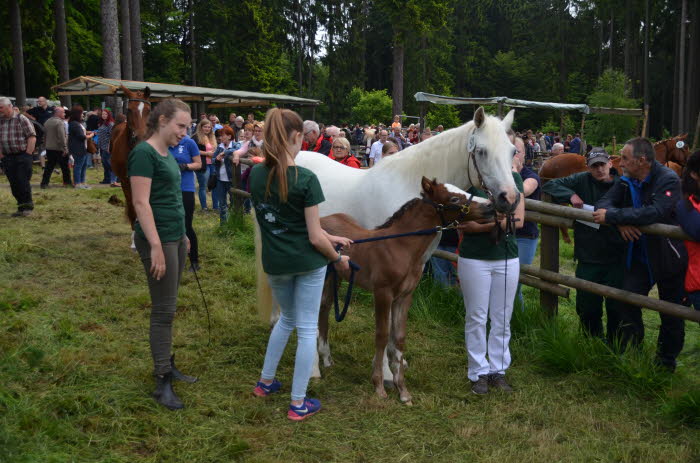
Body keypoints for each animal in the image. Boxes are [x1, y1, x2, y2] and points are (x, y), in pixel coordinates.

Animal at [254, 108, 516, 380]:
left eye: (512, 151)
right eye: (482, 151)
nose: (509, 198)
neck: (407, 186)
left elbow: (395, 325)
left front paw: (395, 362)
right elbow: (385, 323)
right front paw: (388, 373)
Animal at [320, 176, 494, 404]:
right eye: (454, 198)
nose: (490, 206)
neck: (400, 247)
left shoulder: (404, 297)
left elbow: (399, 338)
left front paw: (402, 390)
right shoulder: (383, 293)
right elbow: (382, 335)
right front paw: (379, 385)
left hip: (336, 278)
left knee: (325, 309)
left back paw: (326, 358)